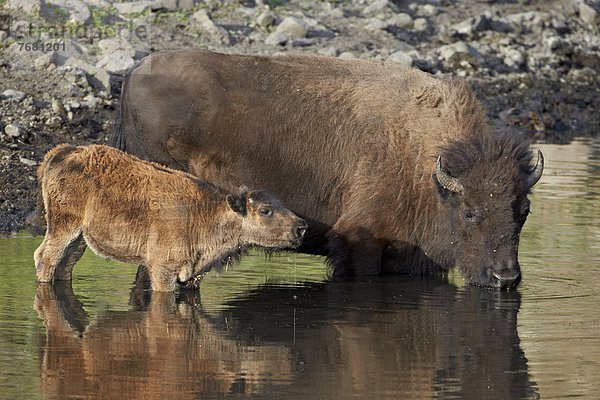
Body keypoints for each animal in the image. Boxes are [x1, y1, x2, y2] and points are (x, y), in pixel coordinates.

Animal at [33, 144, 308, 290]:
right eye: (265, 210)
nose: (301, 227)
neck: (205, 213)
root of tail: (63, 152)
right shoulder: (162, 270)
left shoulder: (192, 277)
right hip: (63, 226)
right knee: (46, 256)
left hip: (80, 237)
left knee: (65, 263)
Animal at [117, 49, 544, 288]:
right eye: (470, 212)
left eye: (523, 212)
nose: (505, 278)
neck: (425, 165)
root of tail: (135, 71)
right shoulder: (361, 244)